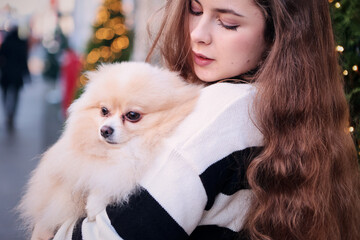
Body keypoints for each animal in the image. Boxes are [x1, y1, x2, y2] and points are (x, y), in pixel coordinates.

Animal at [18, 62, 201, 240]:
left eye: (132, 115)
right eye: (104, 111)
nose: (105, 130)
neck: (121, 153)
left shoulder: (122, 171)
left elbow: (107, 184)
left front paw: (93, 207)